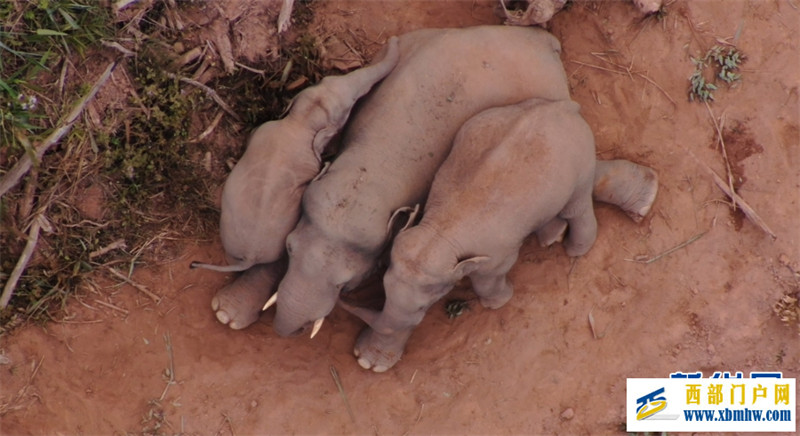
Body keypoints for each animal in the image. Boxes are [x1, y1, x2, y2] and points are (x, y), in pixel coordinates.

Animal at [342, 98, 656, 372]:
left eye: (423, 308)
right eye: (383, 289)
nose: (345, 299)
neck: (439, 232)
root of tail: (563, 106)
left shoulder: (496, 253)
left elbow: (488, 276)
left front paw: (497, 303)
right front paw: (367, 362)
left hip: (577, 161)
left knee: (576, 204)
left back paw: (574, 250)